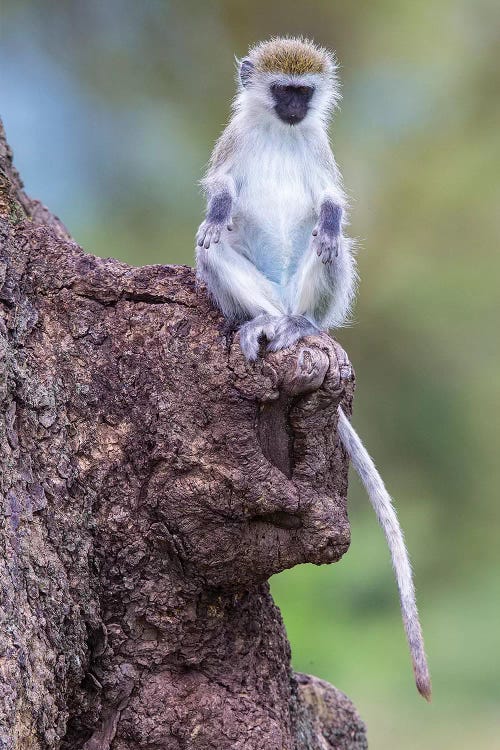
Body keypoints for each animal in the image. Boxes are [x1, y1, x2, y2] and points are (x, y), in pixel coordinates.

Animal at [195, 36, 430, 704]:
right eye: (282, 91)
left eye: (304, 93)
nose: (296, 109)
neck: (279, 131)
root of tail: (281, 302)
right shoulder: (233, 137)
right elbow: (221, 189)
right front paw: (218, 211)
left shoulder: (319, 148)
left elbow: (330, 199)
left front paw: (327, 219)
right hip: (253, 289)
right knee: (211, 250)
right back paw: (261, 325)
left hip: (315, 296)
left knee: (333, 249)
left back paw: (300, 325)